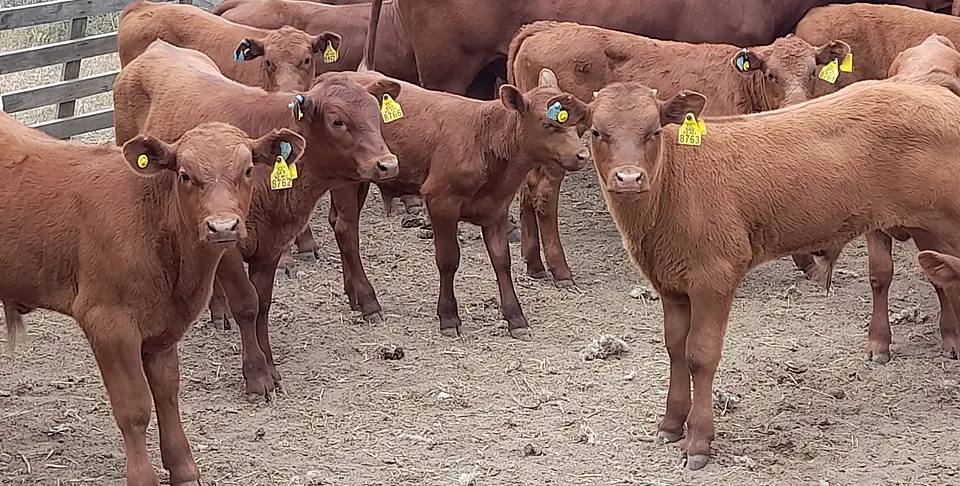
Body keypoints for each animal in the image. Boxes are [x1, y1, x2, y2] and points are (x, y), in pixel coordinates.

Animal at [1, 112, 302, 485]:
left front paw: (184, 469)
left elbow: (167, 394)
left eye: (247, 170)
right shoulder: (108, 324)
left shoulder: (163, 329)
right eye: (185, 175)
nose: (222, 227)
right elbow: (134, 408)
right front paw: (143, 476)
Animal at [113, 39, 400, 401]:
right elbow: (247, 304)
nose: (387, 164)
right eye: (337, 121)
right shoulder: (229, 244)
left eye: (376, 114)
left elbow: (262, 304)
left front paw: (271, 366)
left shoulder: (272, 244)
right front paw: (257, 375)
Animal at [508, 20, 850, 286]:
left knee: (527, 188)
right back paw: (560, 269)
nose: (797, 106)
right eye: (771, 74)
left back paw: (534, 264)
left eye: (813, 72)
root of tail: (545, 27)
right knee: (544, 194)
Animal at [586, 73, 960, 469]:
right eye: (596, 131)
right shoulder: (670, 283)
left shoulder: (714, 277)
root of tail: (936, 94)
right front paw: (671, 423)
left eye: (654, 130)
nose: (629, 178)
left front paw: (698, 440)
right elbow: (675, 348)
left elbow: (700, 354)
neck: (674, 184)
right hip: (926, 226)